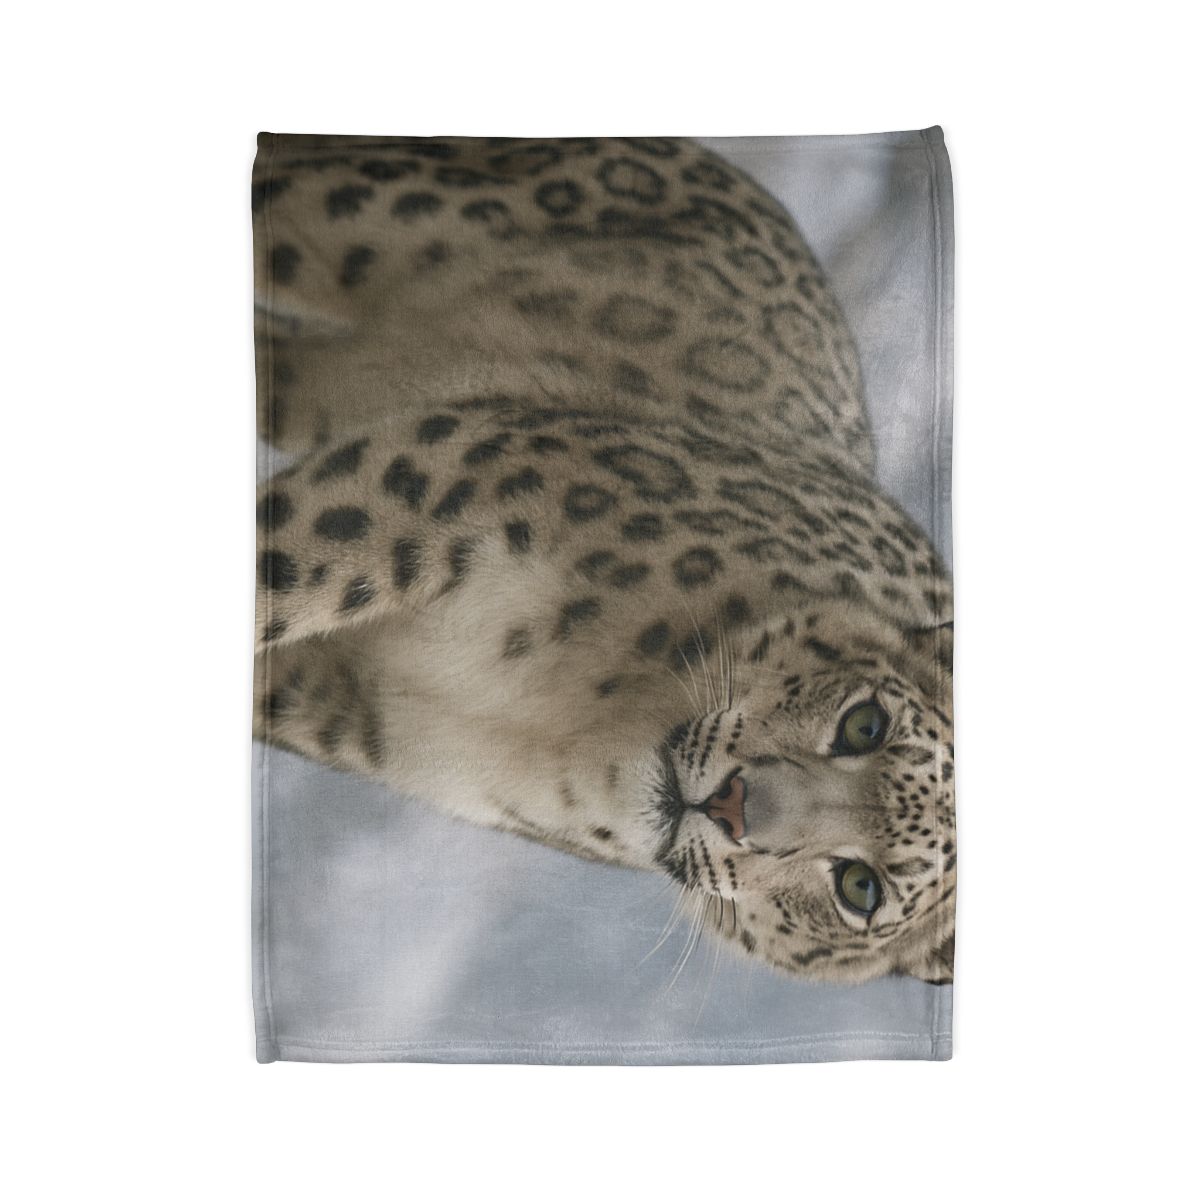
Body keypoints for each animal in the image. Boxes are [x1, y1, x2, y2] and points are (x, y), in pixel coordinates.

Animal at [251, 135, 955, 985]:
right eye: (864, 724)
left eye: (860, 887)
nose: (735, 805)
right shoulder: (454, 477)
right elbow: (282, 569)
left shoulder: (356, 705)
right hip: (371, 208)